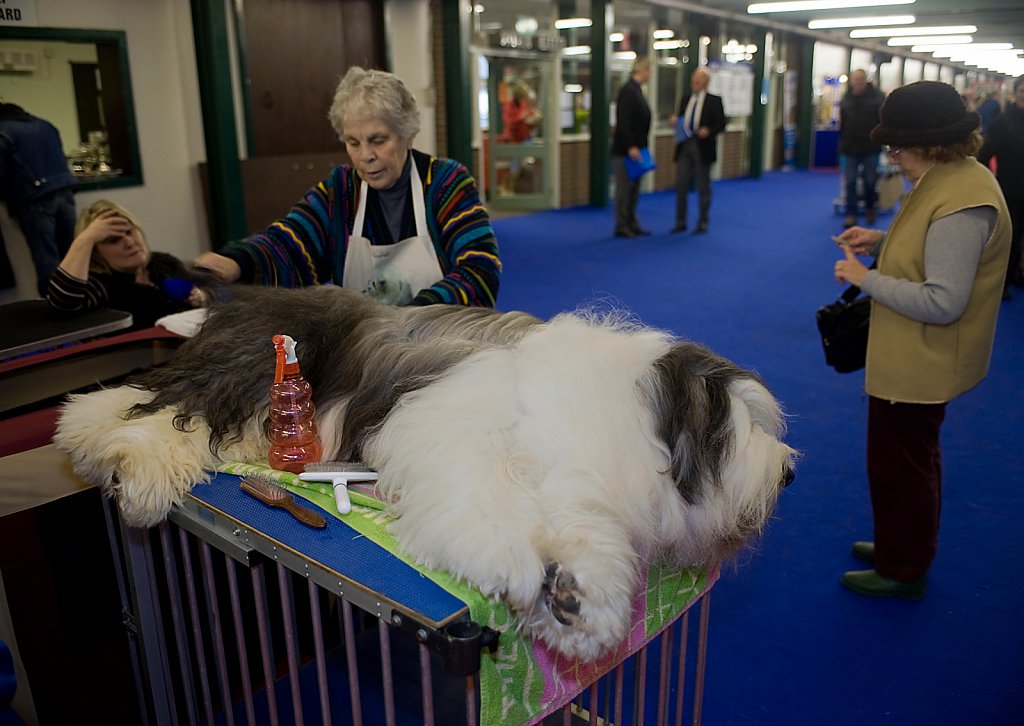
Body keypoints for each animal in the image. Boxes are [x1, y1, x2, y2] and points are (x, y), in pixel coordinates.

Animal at [51, 286, 794, 659]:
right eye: (742, 426)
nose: (787, 475)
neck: (625, 412)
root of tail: (235, 301)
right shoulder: (455, 418)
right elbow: (487, 496)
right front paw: (517, 562)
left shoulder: (577, 484)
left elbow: (587, 536)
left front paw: (579, 603)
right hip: (246, 371)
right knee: (153, 408)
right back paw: (126, 465)